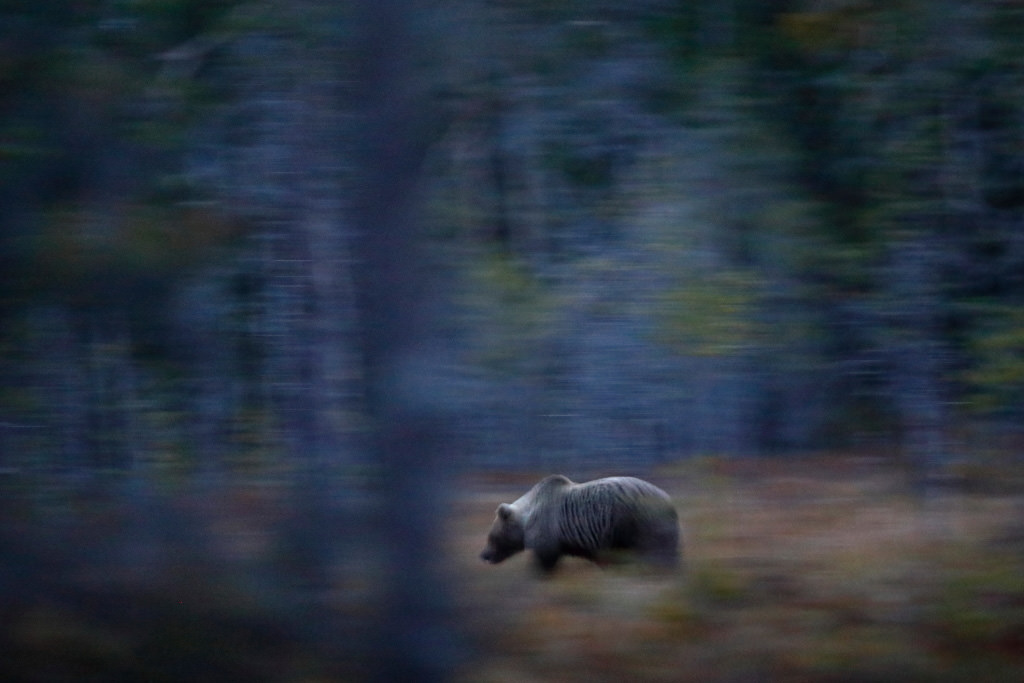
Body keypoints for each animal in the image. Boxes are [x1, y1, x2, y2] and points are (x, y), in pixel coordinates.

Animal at [479, 475, 679, 577]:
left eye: (491, 535)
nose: (483, 555)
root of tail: (669, 500)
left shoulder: (546, 530)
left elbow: (545, 558)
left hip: (639, 522)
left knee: (657, 551)